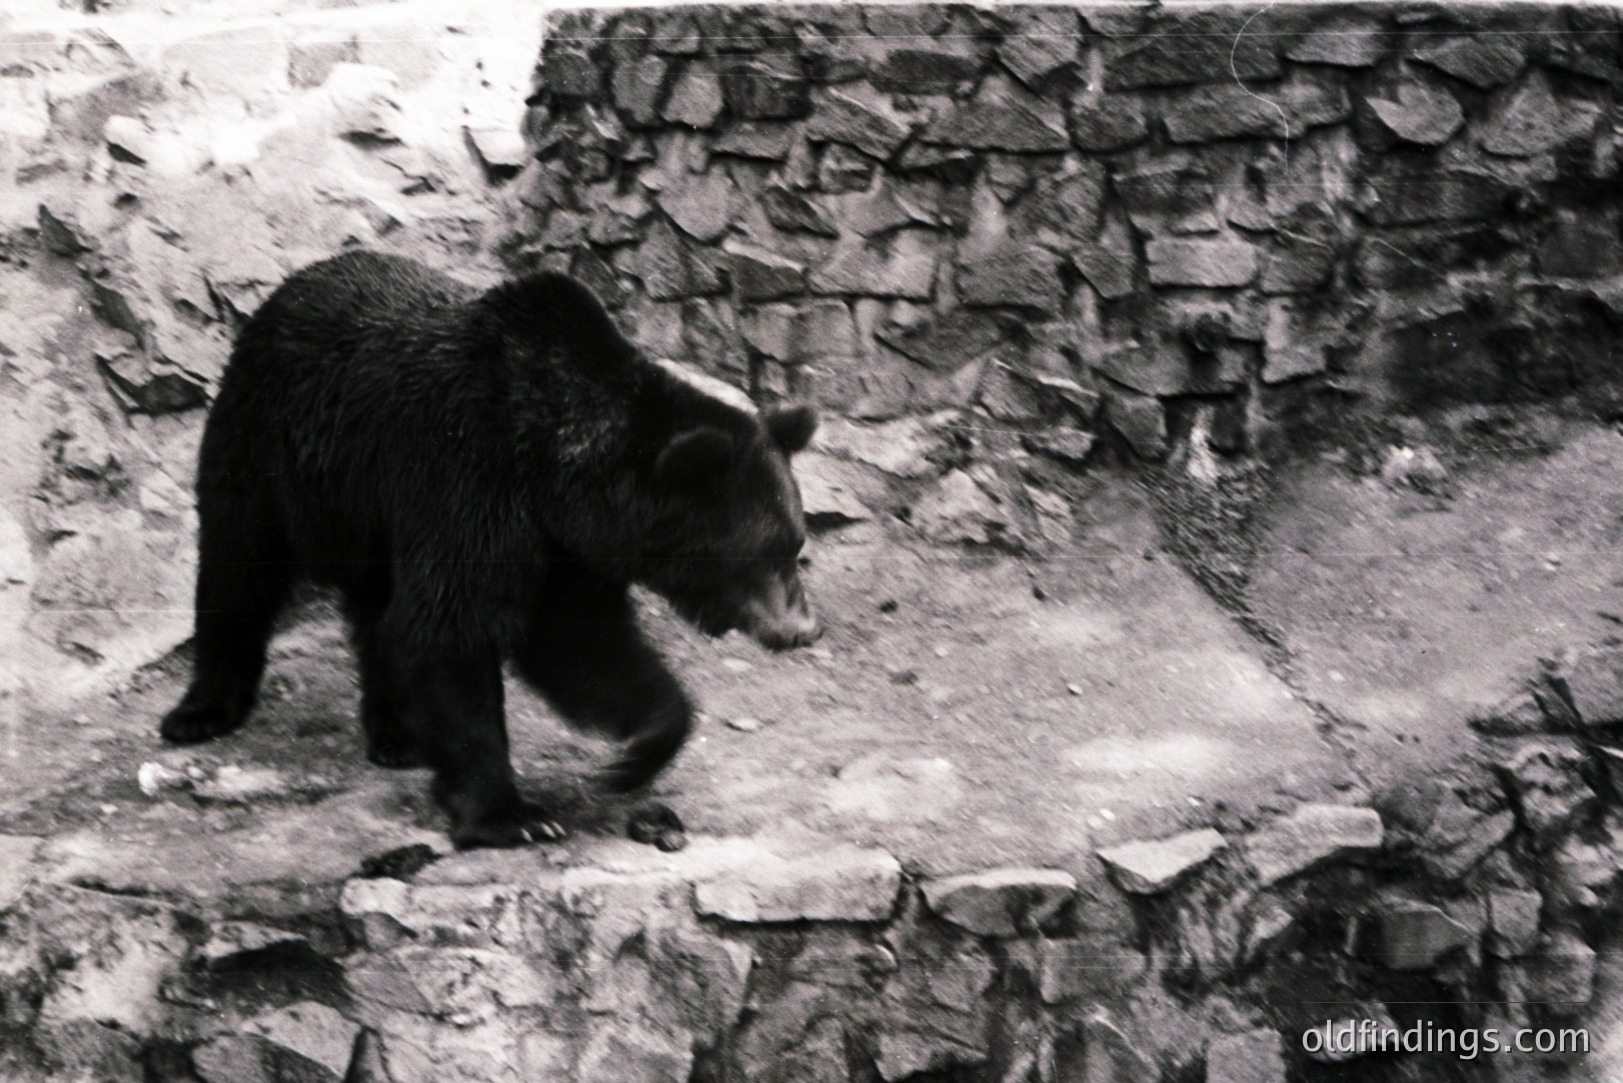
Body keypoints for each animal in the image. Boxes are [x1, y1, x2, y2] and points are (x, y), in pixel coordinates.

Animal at [160, 250, 820, 850]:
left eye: (795, 543)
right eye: (764, 552)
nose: (801, 629)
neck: (553, 468)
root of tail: (291, 284)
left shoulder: (564, 546)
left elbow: (583, 642)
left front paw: (635, 757)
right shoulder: (468, 479)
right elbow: (452, 629)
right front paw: (513, 816)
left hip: (366, 508)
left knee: (376, 608)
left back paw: (398, 734)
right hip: (269, 443)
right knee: (238, 564)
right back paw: (202, 711)